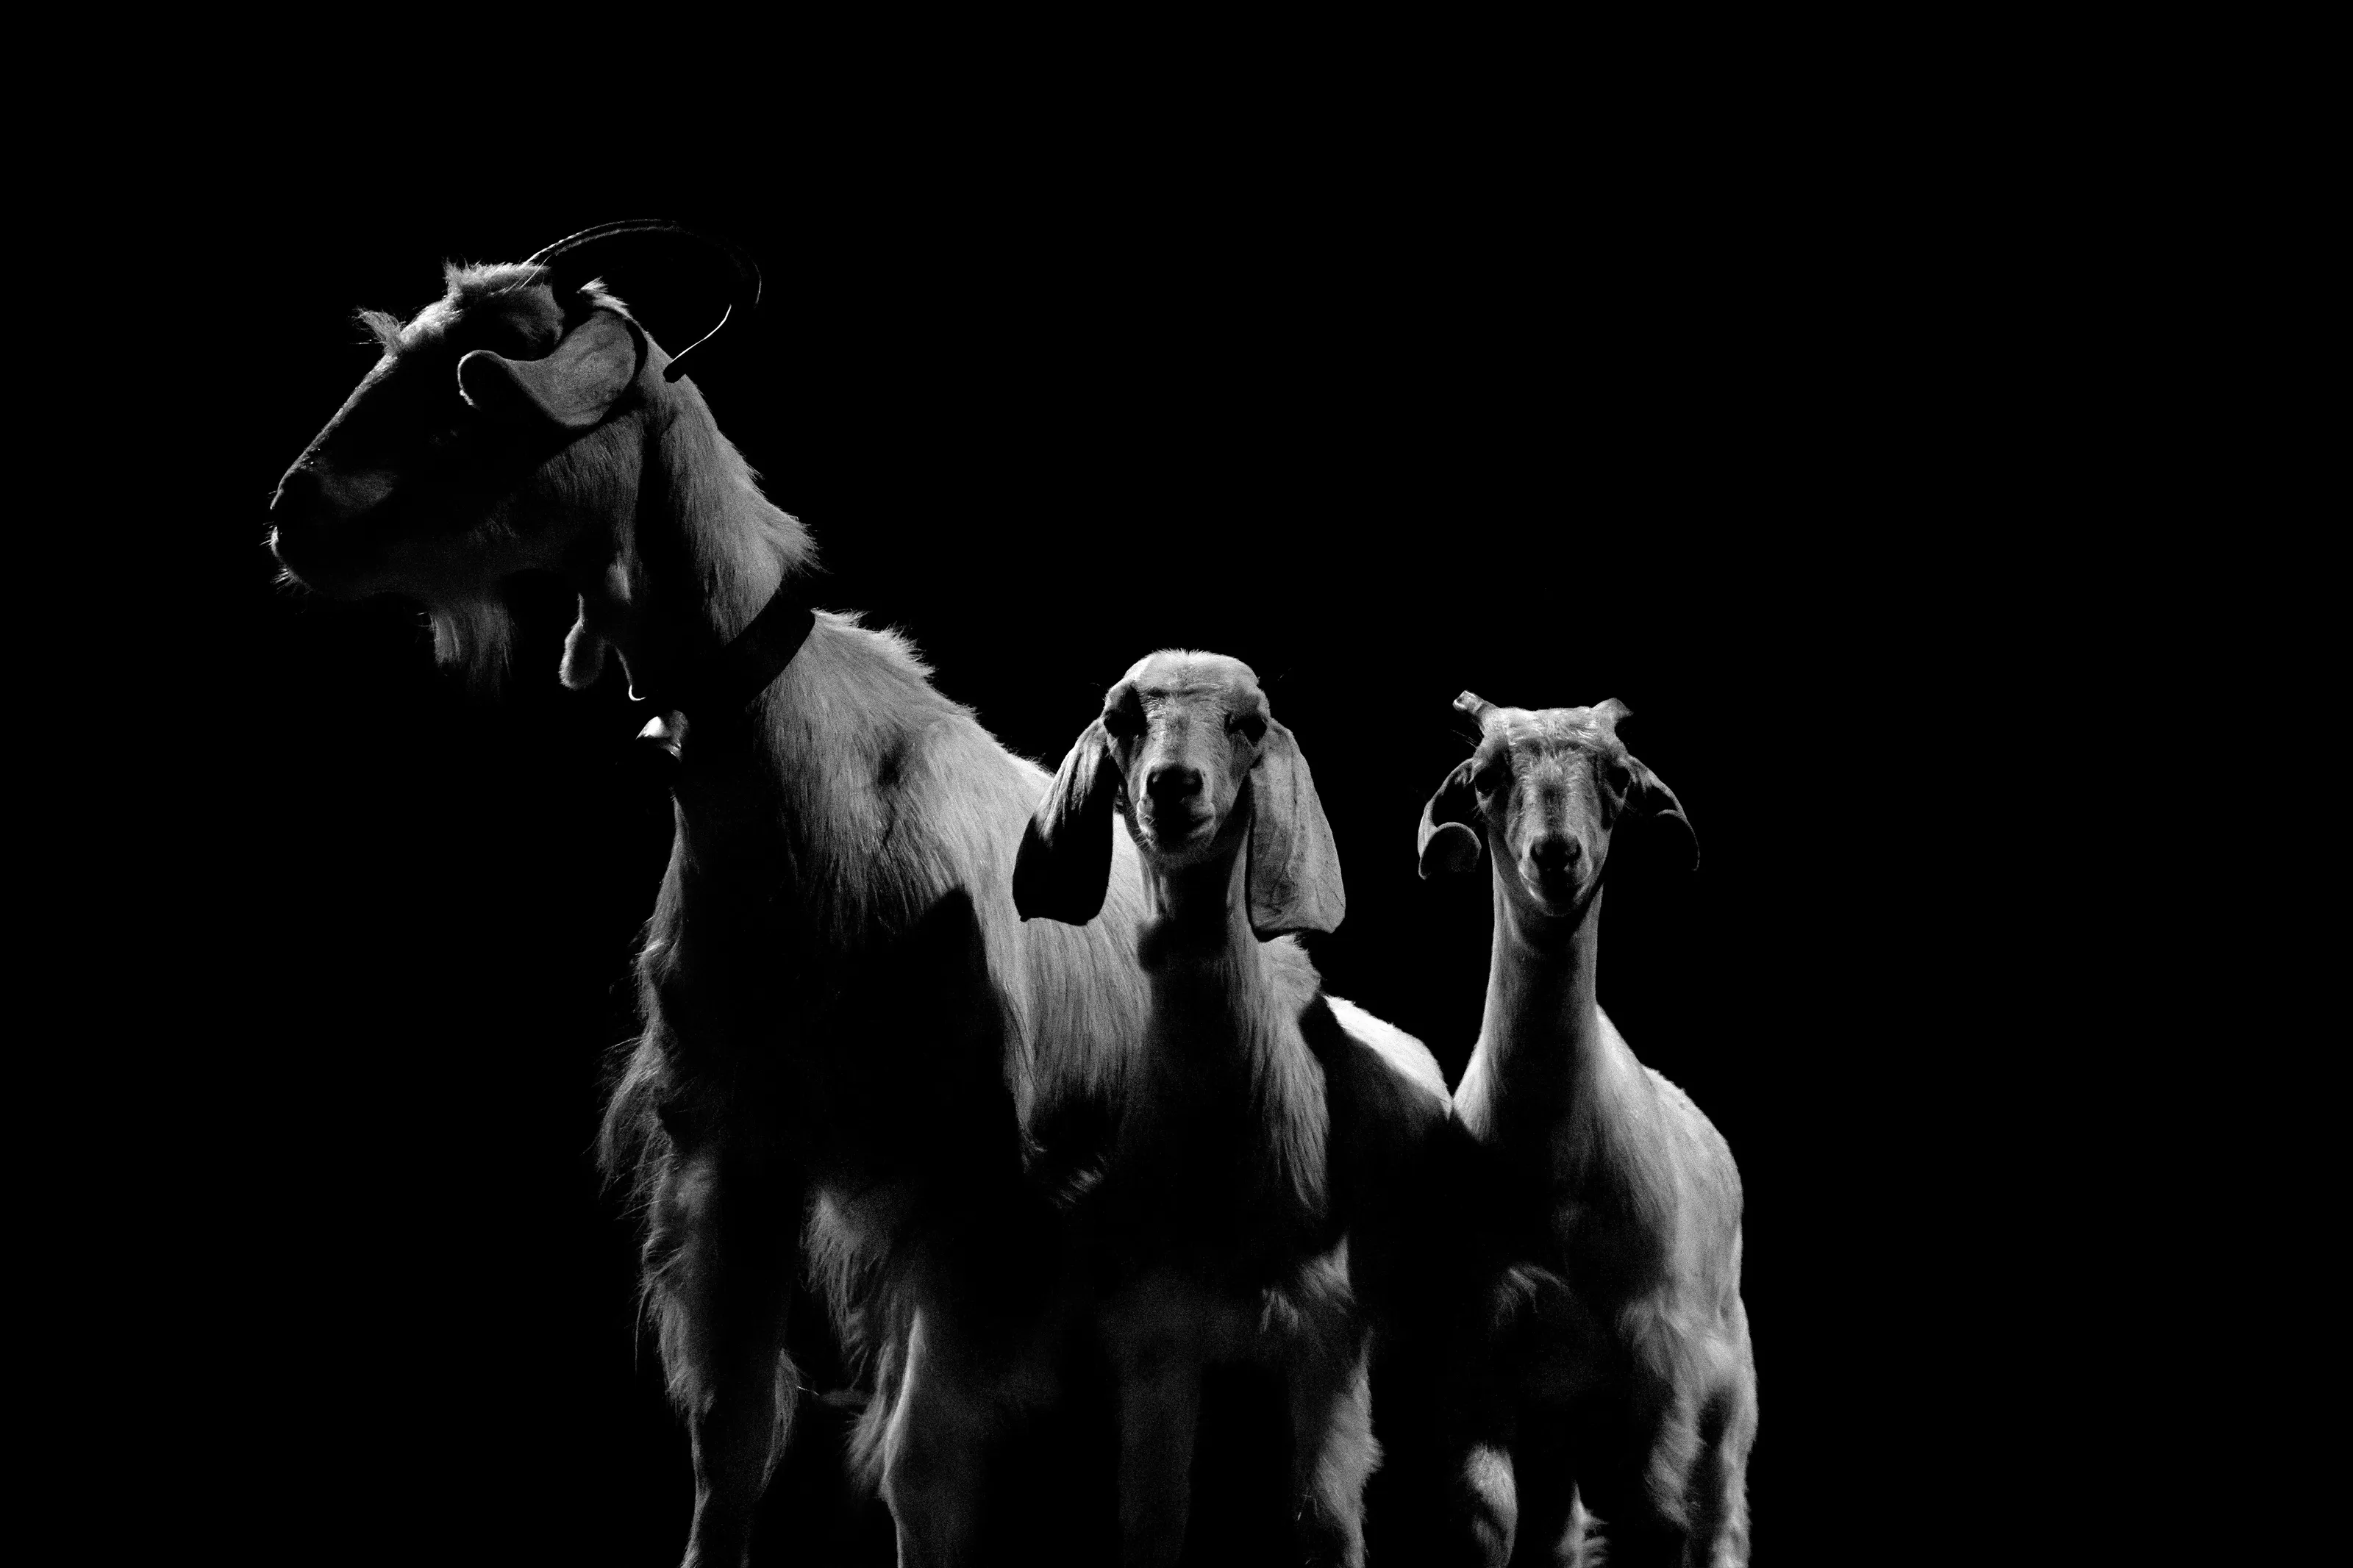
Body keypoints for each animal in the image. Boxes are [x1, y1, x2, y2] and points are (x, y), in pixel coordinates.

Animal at [267, 221, 1158, 1567]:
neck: (794, 768)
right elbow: (731, 1438)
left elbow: (925, 1471)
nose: (292, 511)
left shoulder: (971, 1190)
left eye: (484, 373)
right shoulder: (742, 1149)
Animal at [1013, 650, 1454, 1568]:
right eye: (1120, 717)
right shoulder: (1155, 1334)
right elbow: (1152, 1523)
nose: (1173, 786)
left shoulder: (1329, 1335)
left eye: (1249, 723)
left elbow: (1325, 1524)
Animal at [1415, 692, 1756, 1568]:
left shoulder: (1660, 1370)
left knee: (1717, 1519)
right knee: (1558, 1530)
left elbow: (1654, 1520)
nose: (1557, 856)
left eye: (1616, 775)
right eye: (1486, 776)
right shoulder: (1482, 1362)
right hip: (1559, 1427)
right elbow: (1488, 1524)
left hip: (1729, 1394)